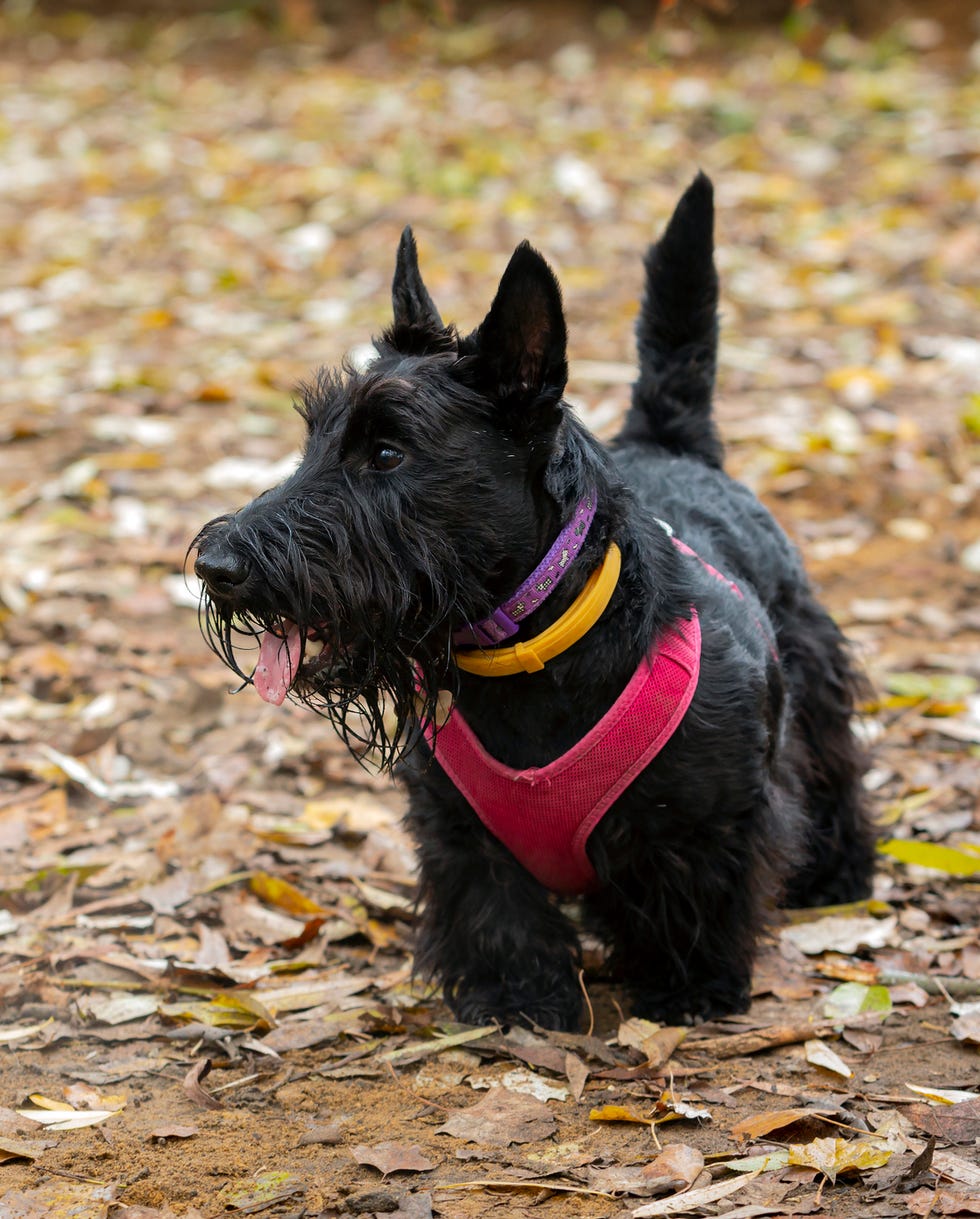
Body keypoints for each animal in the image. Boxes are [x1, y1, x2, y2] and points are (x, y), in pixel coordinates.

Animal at [191, 174, 872, 1028]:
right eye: (313, 439)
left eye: (387, 453)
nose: (215, 563)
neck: (533, 656)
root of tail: (669, 444)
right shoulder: (459, 830)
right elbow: (498, 912)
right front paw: (516, 998)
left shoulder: (709, 817)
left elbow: (696, 892)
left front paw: (689, 986)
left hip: (811, 670)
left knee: (835, 768)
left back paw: (838, 872)